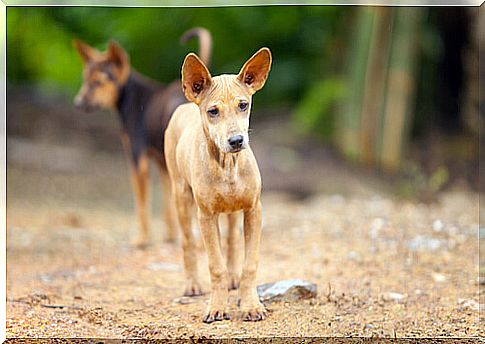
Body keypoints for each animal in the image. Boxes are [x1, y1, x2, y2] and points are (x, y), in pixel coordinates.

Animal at [73, 27, 211, 247]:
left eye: (99, 82)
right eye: (85, 79)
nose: (77, 103)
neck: (128, 96)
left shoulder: (137, 160)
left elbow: (141, 204)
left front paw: (142, 239)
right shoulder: (163, 163)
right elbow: (167, 203)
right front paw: (171, 235)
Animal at [164, 46, 272, 322]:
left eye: (243, 105)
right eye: (213, 111)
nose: (236, 141)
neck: (227, 166)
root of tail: (185, 104)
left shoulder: (254, 210)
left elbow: (249, 263)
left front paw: (250, 305)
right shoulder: (206, 215)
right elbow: (215, 265)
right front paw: (217, 306)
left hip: (234, 212)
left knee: (232, 240)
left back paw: (233, 279)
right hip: (181, 197)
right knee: (188, 243)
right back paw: (192, 284)